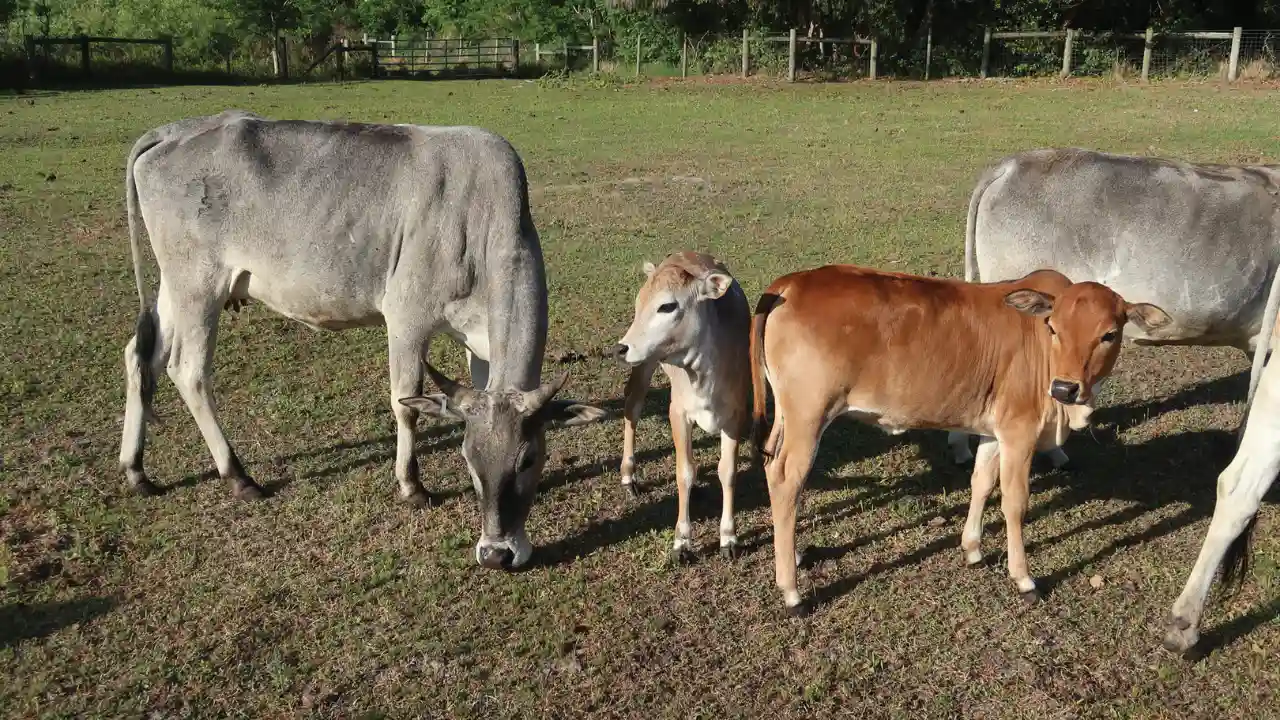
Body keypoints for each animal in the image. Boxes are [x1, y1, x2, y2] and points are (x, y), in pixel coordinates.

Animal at [117, 110, 606, 571]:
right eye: (468, 458)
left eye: (528, 459)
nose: (496, 554)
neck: (482, 216)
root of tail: (175, 130)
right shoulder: (406, 318)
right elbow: (405, 402)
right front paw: (411, 485)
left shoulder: (481, 343)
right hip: (199, 285)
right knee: (188, 371)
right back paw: (238, 475)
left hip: (175, 287)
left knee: (141, 357)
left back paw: (137, 470)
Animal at [608, 251, 752, 561]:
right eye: (639, 303)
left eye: (667, 306)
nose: (621, 348)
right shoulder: (678, 412)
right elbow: (684, 472)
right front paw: (682, 541)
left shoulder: (735, 415)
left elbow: (728, 471)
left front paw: (729, 537)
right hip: (645, 363)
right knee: (632, 406)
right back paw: (628, 475)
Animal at [748, 264, 1173, 615]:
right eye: (1053, 327)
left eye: (1109, 334)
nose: (1065, 388)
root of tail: (791, 282)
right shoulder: (1020, 431)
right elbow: (1015, 503)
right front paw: (1024, 578)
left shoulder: (993, 430)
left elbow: (981, 483)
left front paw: (972, 548)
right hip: (809, 415)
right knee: (786, 479)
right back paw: (791, 592)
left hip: (787, 416)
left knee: (771, 470)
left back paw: (793, 555)